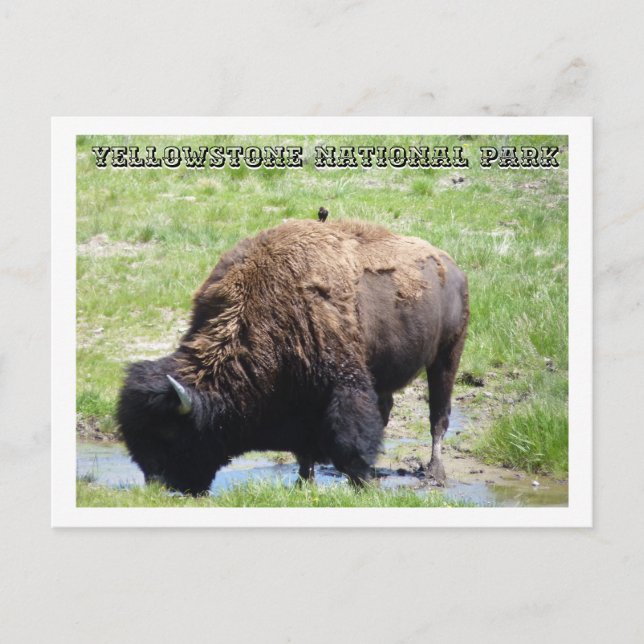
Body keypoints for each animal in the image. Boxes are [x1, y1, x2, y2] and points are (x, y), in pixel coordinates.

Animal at [117, 220, 469, 495]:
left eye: (169, 434)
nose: (162, 486)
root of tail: (451, 266)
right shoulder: (300, 399)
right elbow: (304, 449)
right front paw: (305, 482)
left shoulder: (343, 385)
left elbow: (351, 440)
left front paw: (362, 484)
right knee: (390, 409)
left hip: (447, 355)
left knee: (438, 417)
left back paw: (435, 473)